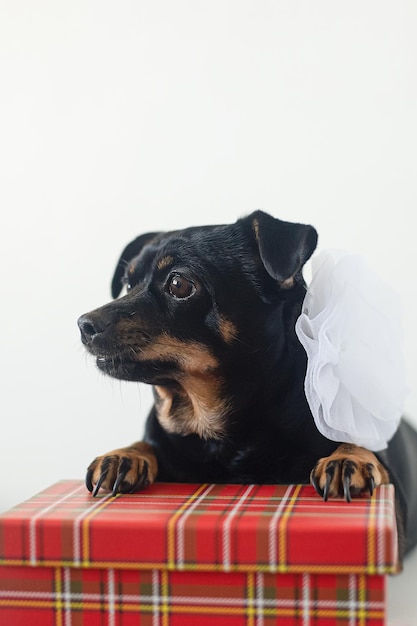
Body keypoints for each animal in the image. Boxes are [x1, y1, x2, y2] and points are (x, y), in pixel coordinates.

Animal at [77, 211, 416, 556]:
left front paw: (350, 457)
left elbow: (362, 447)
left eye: (178, 284)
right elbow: (147, 443)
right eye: (129, 284)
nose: (84, 324)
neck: (210, 425)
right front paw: (126, 454)